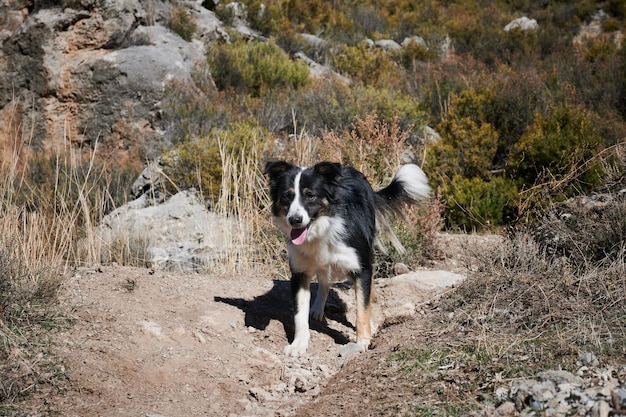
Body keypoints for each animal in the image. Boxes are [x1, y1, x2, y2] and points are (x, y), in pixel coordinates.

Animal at [264, 159, 428, 354]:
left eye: (310, 195)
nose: (295, 220)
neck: (321, 230)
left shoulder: (362, 268)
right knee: (324, 282)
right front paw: (299, 344)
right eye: (287, 196)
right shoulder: (299, 273)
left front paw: (362, 341)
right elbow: (300, 315)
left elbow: (362, 308)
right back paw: (317, 309)